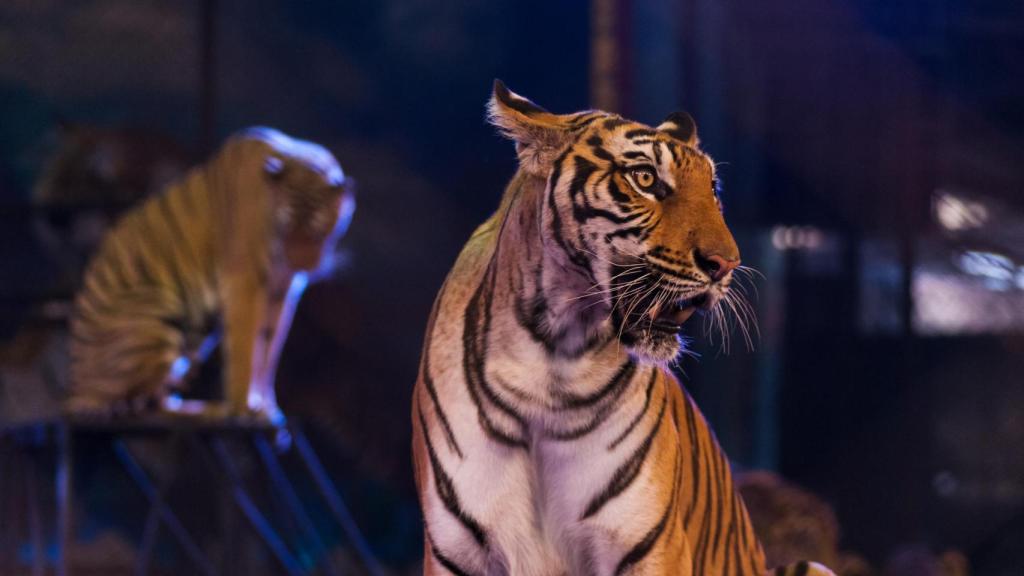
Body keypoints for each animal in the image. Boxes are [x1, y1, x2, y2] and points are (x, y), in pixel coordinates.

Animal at [67, 127, 355, 423]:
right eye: (284, 228)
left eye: (319, 229)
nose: (302, 265)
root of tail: (76, 392)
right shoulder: (244, 279)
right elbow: (245, 347)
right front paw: (244, 408)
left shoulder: (282, 289)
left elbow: (270, 348)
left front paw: (267, 407)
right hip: (155, 316)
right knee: (149, 406)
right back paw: (213, 410)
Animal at [411, 81, 836, 576]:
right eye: (646, 179)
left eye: (712, 189)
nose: (726, 264)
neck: (553, 358)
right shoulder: (455, 553)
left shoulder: (649, 546)